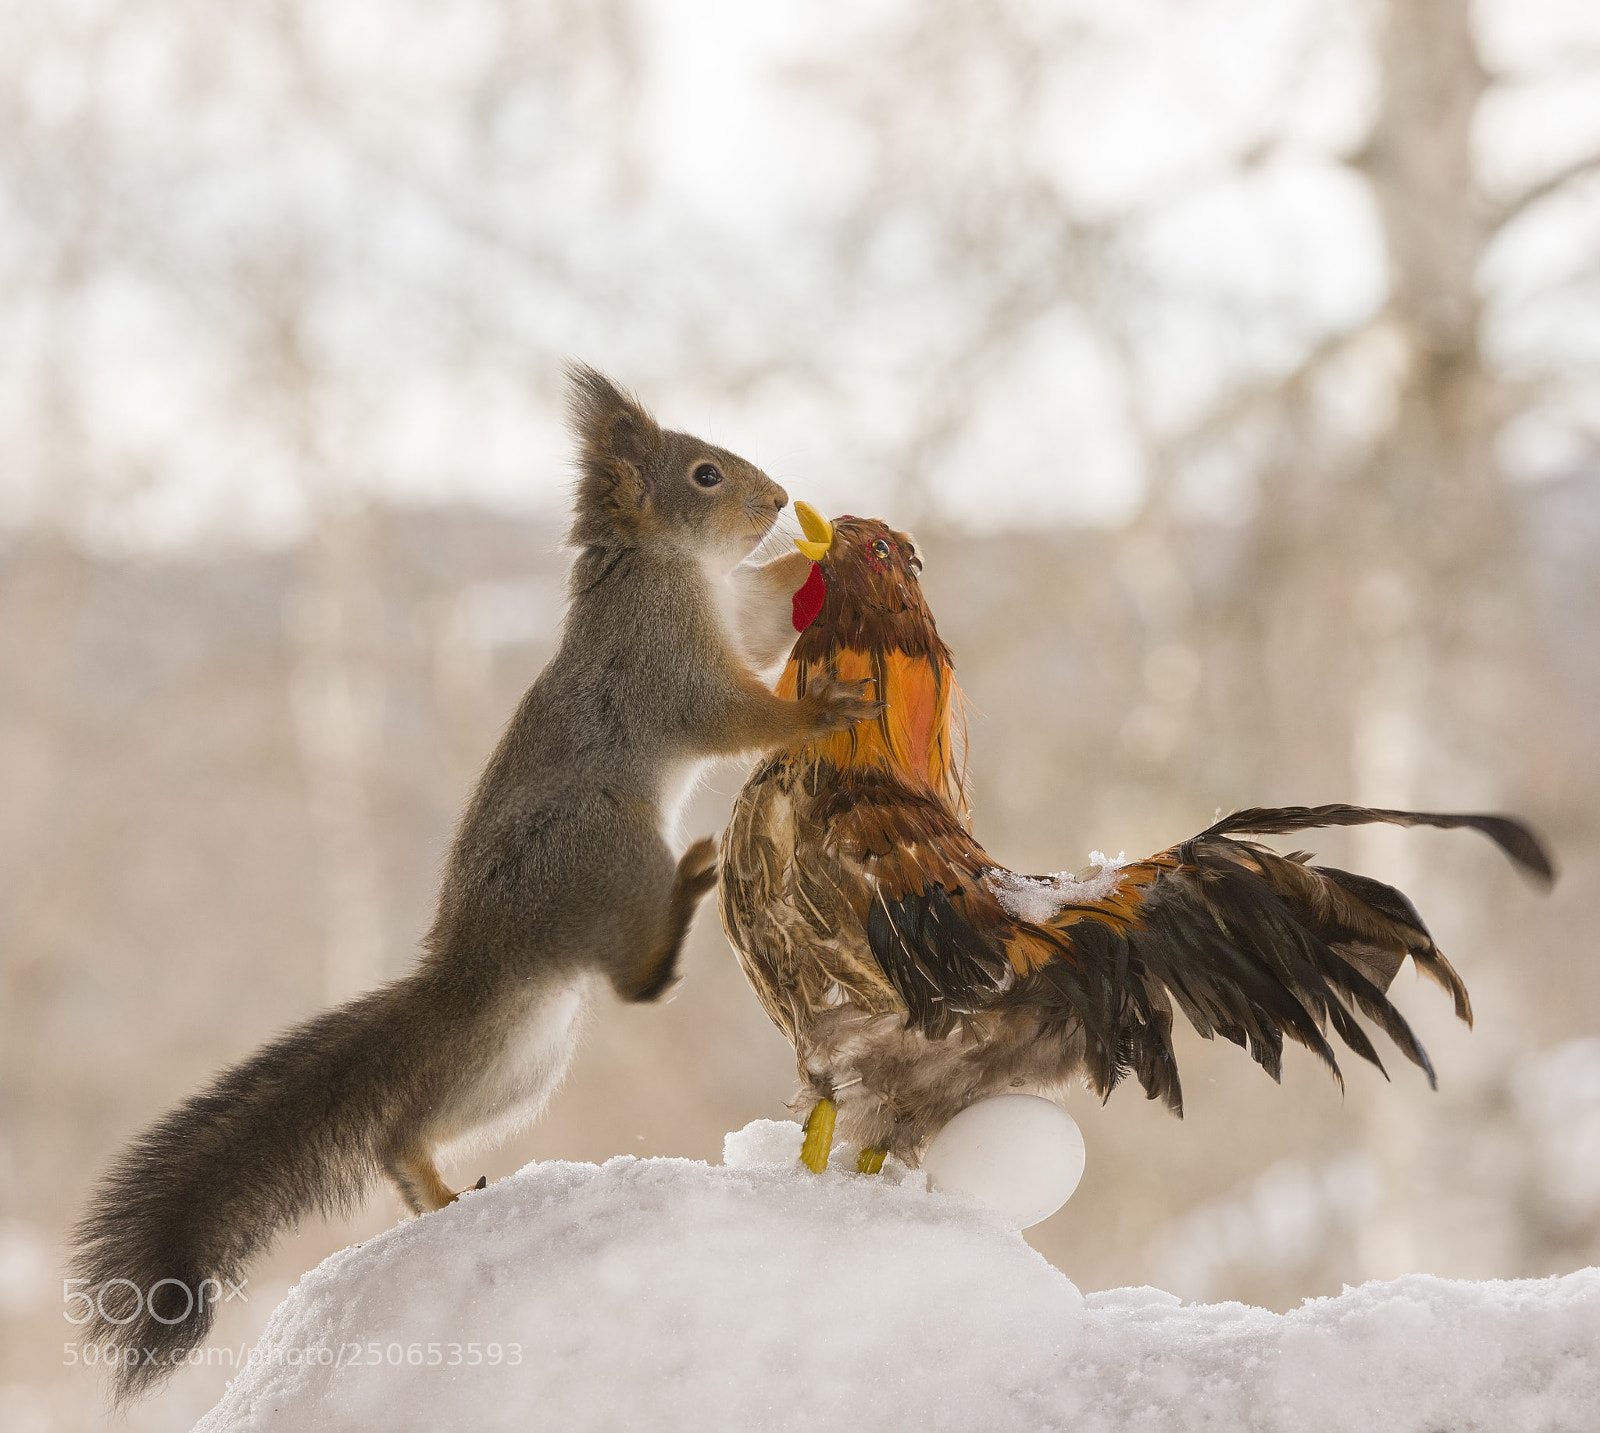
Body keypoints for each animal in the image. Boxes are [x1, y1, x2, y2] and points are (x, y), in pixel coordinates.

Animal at [70, 365, 879, 1405]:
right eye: (705, 474)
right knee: (630, 985)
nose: (779, 498)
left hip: (522, 1060)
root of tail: (478, 960)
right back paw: (682, 902)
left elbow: (773, 619)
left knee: (414, 1120)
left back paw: (432, 1182)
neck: (662, 568)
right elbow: (734, 715)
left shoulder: (736, 616)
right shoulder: (663, 664)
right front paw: (822, 707)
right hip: (606, 852)